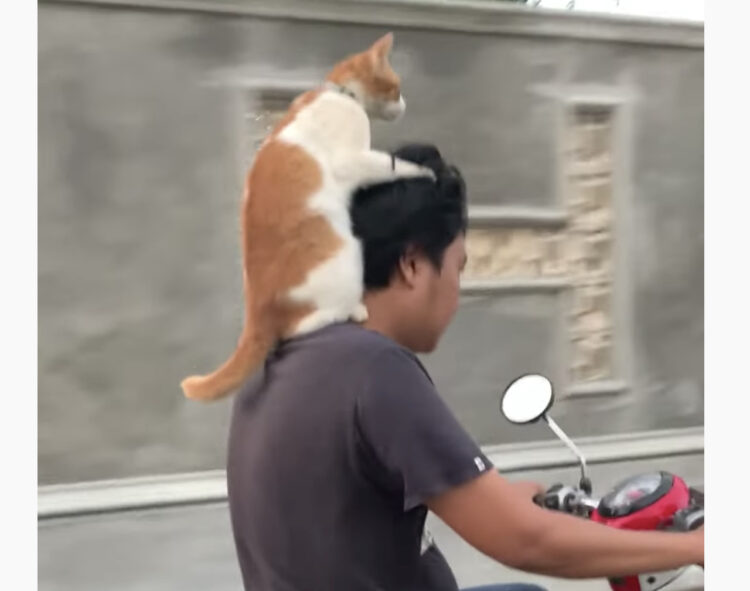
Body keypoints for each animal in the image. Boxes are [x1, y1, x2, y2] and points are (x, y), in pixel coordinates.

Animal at [181, 33, 434, 401]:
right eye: (395, 87)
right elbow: (390, 165)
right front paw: (423, 171)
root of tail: (258, 308)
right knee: (303, 325)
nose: (405, 104)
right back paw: (354, 309)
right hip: (346, 256)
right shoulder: (351, 159)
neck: (341, 93)